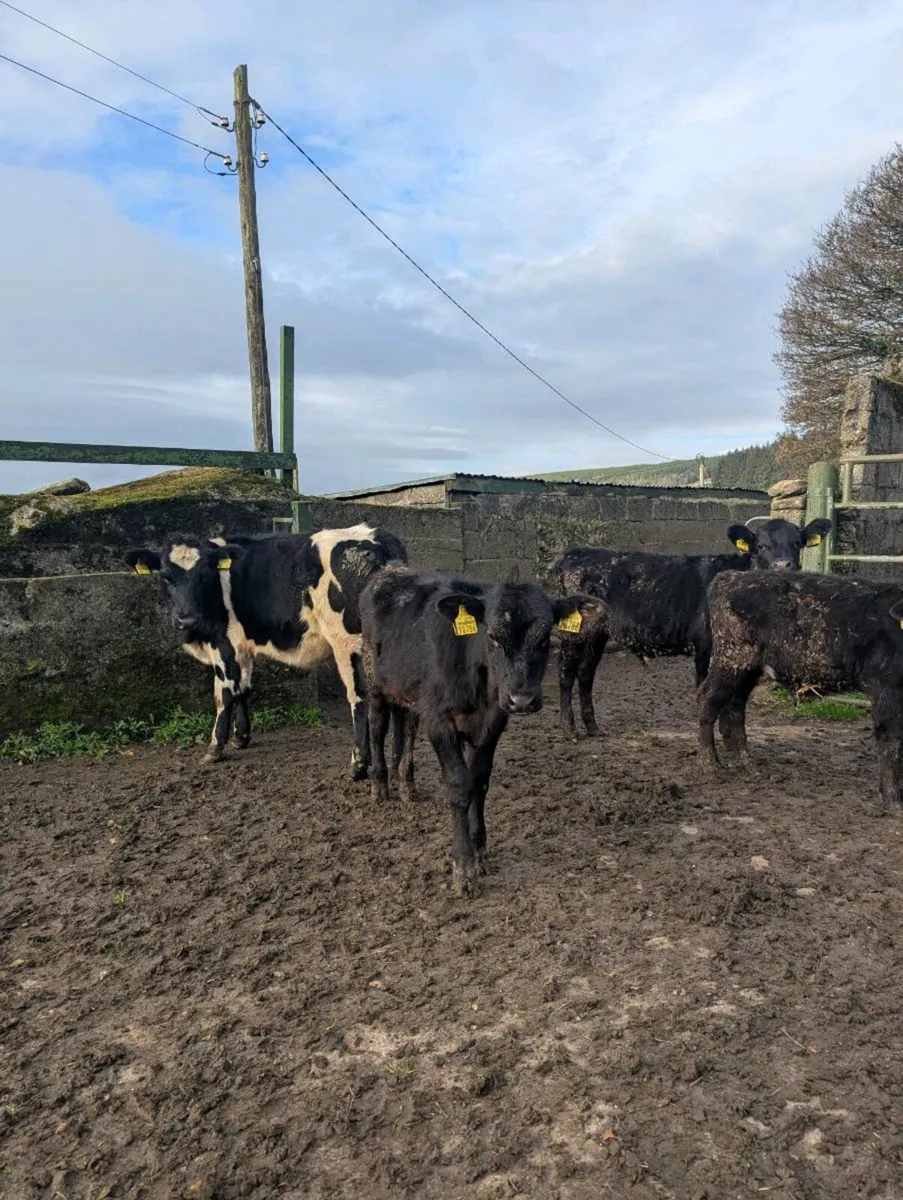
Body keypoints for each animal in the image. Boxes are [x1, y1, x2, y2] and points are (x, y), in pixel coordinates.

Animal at [124, 524, 407, 776]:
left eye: (203, 575)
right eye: (165, 577)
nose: (186, 619)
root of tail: (374, 536)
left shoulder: (223, 645)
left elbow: (223, 694)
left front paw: (215, 748)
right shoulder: (242, 646)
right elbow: (243, 689)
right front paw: (241, 737)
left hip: (348, 644)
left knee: (359, 699)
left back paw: (358, 766)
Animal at [360, 565, 602, 896]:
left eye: (545, 639)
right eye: (492, 637)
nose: (521, 699)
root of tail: (390, 571)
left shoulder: (493, 724)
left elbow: (480, 782)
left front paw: (479, 850)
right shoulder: (439, 722)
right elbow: (460, 785)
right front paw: (464, 867)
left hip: (410, 694)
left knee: (406, 728)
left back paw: (406, 786)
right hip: (373, 680)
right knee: (377, 726)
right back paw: (380, 787)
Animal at [555, 517, 833, 737]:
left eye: (797, 543)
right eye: (761, 546)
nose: (783, 566)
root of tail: (576, 553)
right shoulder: (705, 647)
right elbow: (706, 692)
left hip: (597, 635)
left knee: (586, 674)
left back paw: (593, 728)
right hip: (573, 634)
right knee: (566, 673)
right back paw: (570, 730)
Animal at [698, 570, 903, 807]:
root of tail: (731, 576)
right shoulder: (884, 687)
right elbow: (891, 738)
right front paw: (893, 799)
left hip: (749, 668)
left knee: (735, 706)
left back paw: (746, 763)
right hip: (731, 658)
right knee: (707, 699)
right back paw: (709, 764)